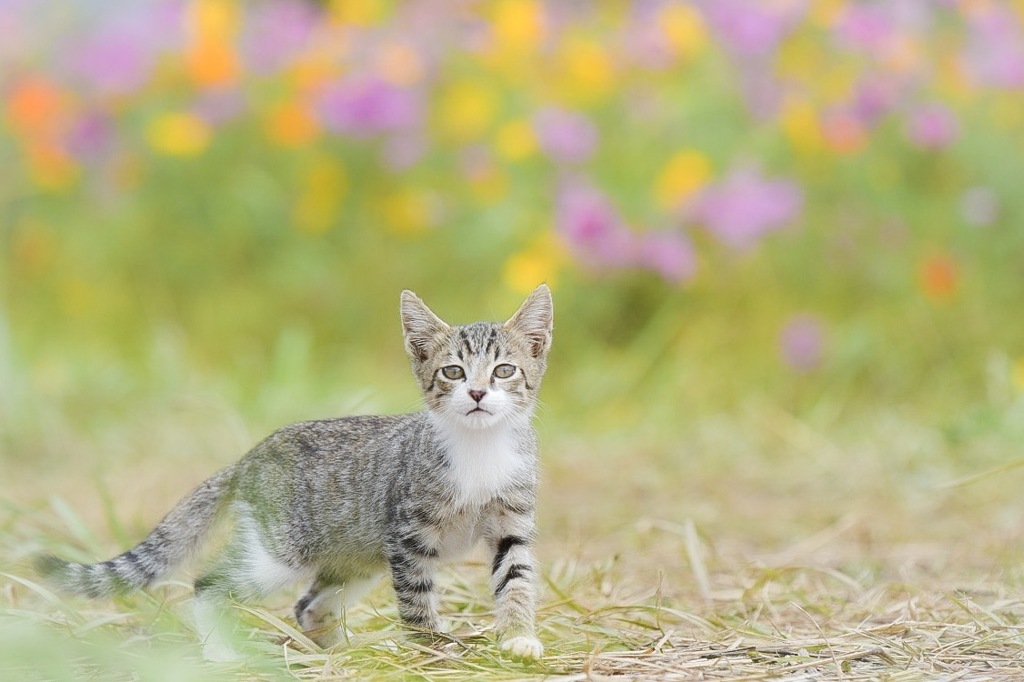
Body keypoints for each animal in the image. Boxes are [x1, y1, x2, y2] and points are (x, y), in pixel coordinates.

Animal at [36, 282, 552, 659]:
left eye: (504, 371)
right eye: (453, 372)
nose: (478, 394)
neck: (479, 450)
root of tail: (248, 458)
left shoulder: (510, 522)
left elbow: (516, 579)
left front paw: (518, 637)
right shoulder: (407, 536)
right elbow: (417, 600)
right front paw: (431, 649)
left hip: (356, 557)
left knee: (309, 605)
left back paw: (339, 652)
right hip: (278, 552)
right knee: (208, 584)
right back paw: (220, 652)